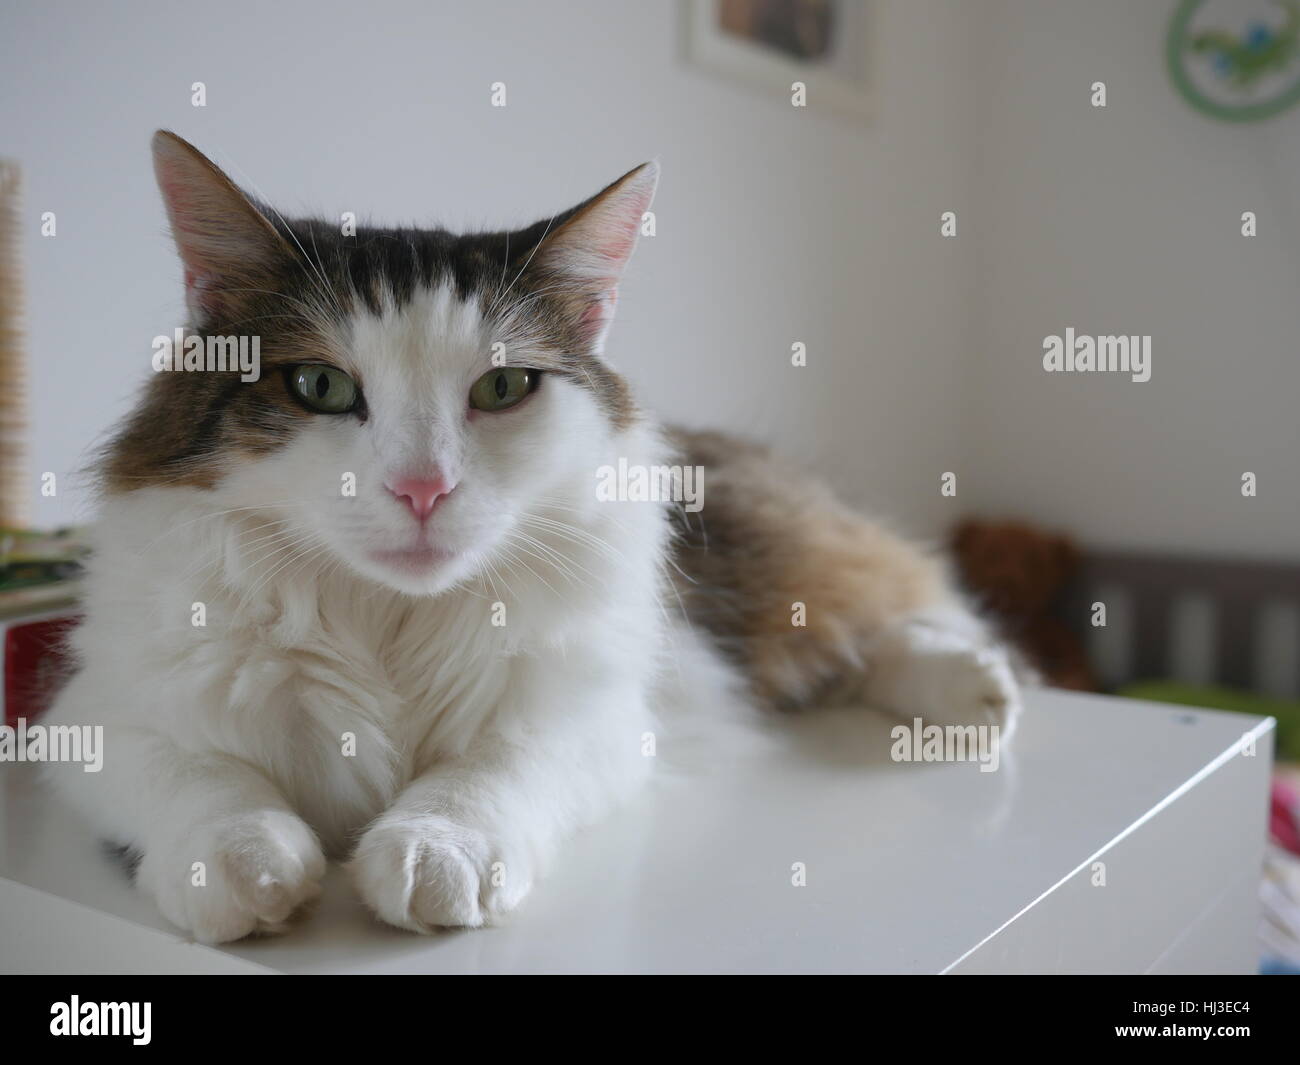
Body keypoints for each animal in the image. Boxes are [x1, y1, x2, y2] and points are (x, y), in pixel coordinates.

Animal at [43, 131, 1024, 941]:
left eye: (504, 388)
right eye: (319, 386)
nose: (423, 487)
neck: (386, 622)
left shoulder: (598, 720)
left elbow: (490, 769)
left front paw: (436, 848)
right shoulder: (90, 718)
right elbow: (203, 779)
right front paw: (245, 856)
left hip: (785, 578)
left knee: (896, 616)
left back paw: (976, 689)